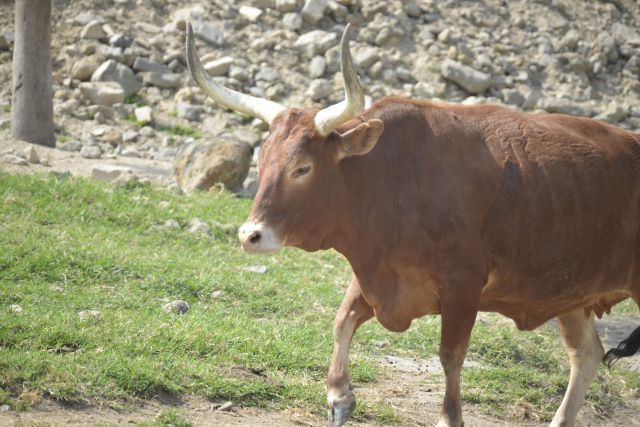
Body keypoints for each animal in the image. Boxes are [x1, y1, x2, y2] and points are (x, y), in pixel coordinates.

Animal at [185, 22, 640, 427]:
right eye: (262, 160)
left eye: (302, 168)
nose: (250, 235)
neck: (396, 180)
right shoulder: (375, 272)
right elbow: (341, 320)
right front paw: (339, 395)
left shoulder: (462, 287)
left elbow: (451, 355)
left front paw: (448, 416)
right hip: (572, 295)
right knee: (586, 355)